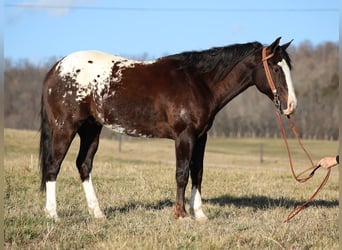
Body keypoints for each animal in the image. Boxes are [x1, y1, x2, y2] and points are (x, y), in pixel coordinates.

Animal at [40, 36, 296, 221]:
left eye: (288, 67)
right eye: (275, 68)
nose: (291, 105)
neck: (198, 82)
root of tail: (56, 68)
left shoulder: (201, 137)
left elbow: (198, 173)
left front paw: (199, 214)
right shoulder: (185, 137)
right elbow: (182, 174)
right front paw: (181, 214)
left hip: (91, 129)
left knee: (84, 165)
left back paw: (97, 213)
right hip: (65, 128)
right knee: (53, 165)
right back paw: (53, 214)